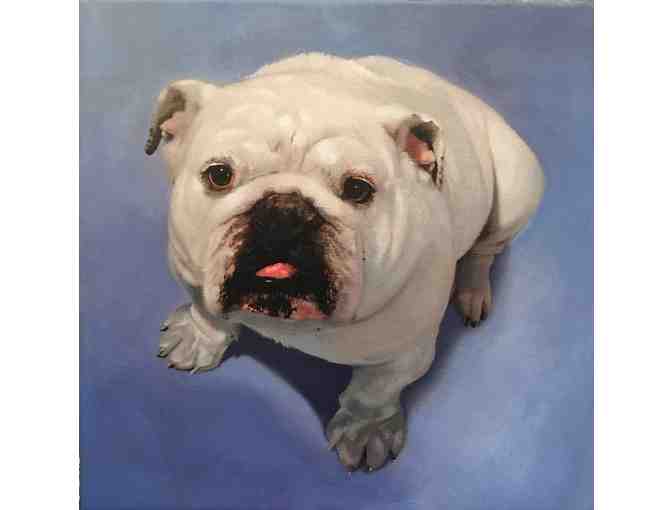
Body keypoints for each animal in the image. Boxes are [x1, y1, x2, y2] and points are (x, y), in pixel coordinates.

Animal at [145, 53, 544, 471]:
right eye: (219, 175)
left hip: (516, 187)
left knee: (486, 250)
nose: (285, 211)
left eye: (358, 189)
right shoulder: (195, 278)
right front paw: (197, 338)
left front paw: (366, 430)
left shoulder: (404, 352)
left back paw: (471, 291)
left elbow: (374, 391)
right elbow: (209, 315)